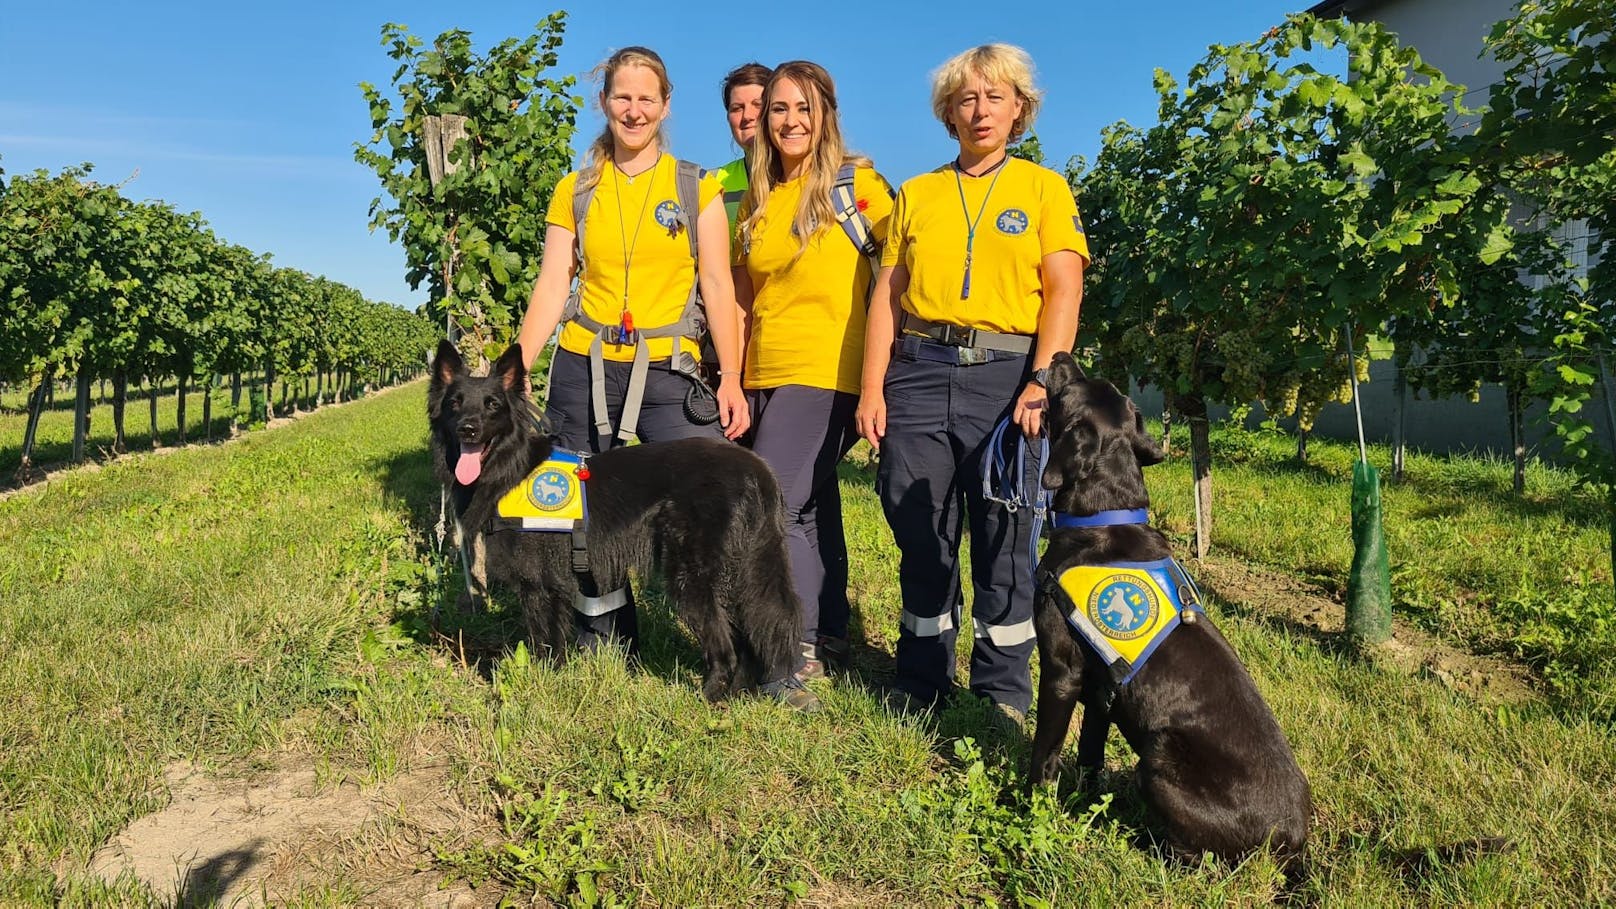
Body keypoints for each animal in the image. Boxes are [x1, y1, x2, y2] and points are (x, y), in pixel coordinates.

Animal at [429, 339, 801, 701]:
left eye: (492, 405)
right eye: (454, 404)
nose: (468, 430)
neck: (512, 468)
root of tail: (755, 466)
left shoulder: (538, 583)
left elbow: (543, 640)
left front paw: (541, 685)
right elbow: (553, 641)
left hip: (690, 578)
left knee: (725, 648)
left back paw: (708, 697)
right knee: (746, 640)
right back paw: (737, 696)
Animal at [1034, 352, 1312, 860]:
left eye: (1072, 387)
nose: (1061, 355)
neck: (1104, 516)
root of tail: (1294, 839)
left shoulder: (1061, 673)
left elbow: (1044, 757)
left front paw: (1027, 806)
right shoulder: (1101, 694)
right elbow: (1088, 757)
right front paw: (1082, 809)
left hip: (1158, 757)